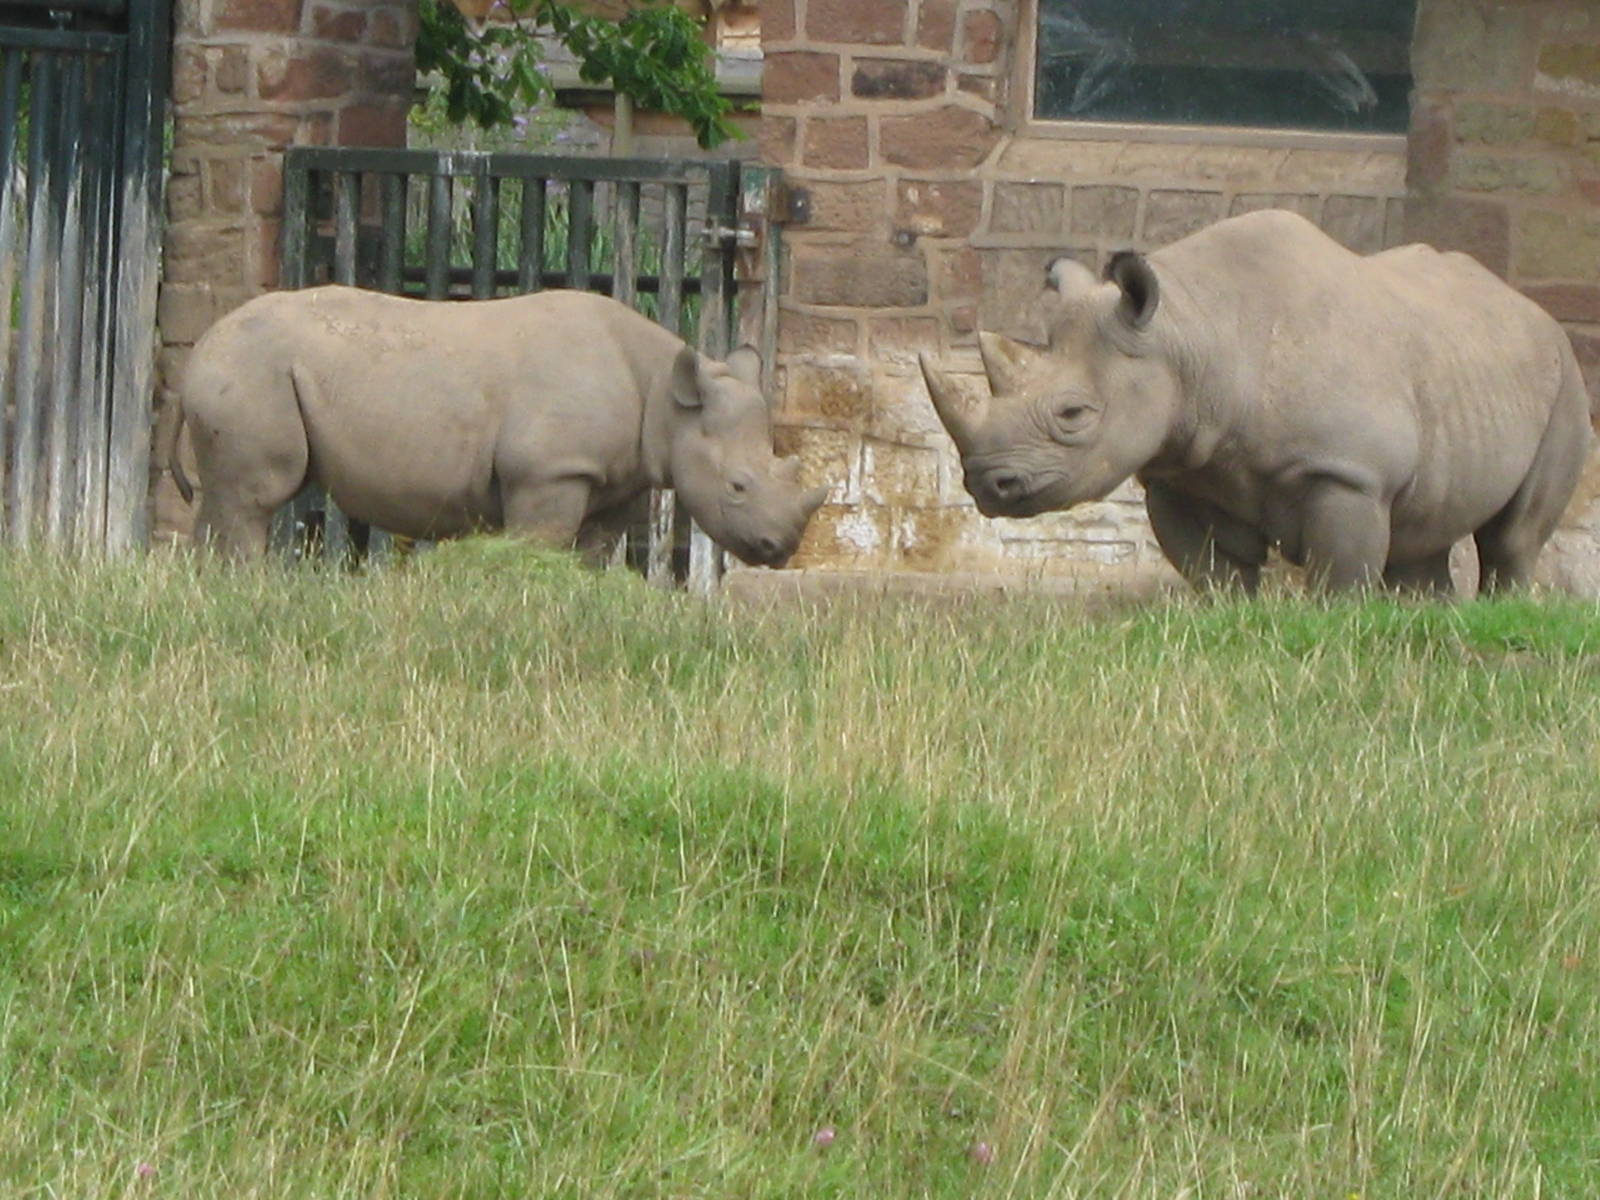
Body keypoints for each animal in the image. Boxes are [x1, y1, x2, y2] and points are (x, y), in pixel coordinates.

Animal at [165, 286, 827, 566]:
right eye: (737, 487)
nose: (781, 549)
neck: (667, 395)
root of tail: (200, 349)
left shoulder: (615, 477)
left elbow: (591, 553)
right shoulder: (549, 472)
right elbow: (541, 543)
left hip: (246, 369)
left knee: (227, 499)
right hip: (252, 370)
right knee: (255, 496)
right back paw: (248, 586)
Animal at [919, 209, 1595, 593]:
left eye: (1073, 415)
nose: (988, 485)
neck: (1192, 336)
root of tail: (1524, 304)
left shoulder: (1350, 473)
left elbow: (1340, 578)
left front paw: (1340, 632)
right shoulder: (1181, 468)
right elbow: (1213, 570)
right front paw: (1230, 621)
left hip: (1565, 379)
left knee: (1512, 538)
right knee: (1427, 528)